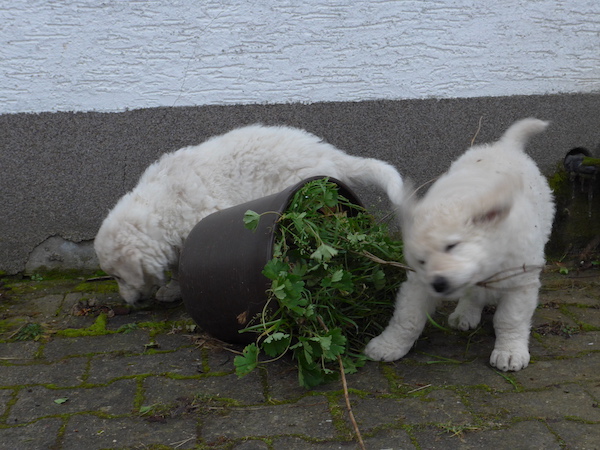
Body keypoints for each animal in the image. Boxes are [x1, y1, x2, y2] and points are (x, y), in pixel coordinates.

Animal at [94, 125, 404, 304]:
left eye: (118, 276)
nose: (127, 301)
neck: (161, 206)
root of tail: (327, 152)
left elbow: (183, 266)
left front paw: (174, 290)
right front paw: (170, 288)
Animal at [364, 118, 556, 370]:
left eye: (451, 246)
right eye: (422, 261)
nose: (439, 283)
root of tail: (505, 145)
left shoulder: (520, 279)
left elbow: (509, 319)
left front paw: (510, 352)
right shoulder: (418, 282)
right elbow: (407, 317)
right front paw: (388, 345)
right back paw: (465, 313)